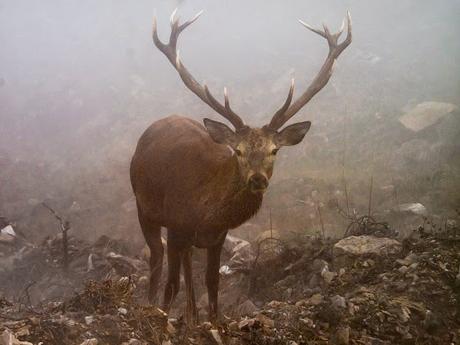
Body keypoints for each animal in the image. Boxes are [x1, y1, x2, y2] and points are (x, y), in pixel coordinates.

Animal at [129, 9, 352, 324]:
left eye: (274, 150)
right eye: (238, 151)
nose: (257, 179)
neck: (204, 213)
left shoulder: (217, 236)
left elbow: (212, 281)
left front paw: (212, 323)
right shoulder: (175, 225)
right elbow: (171, 283)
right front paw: (160, 318)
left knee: (187, 263)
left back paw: (191, 316)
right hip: (143, 206)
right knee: (156, 259)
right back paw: (153, 305)